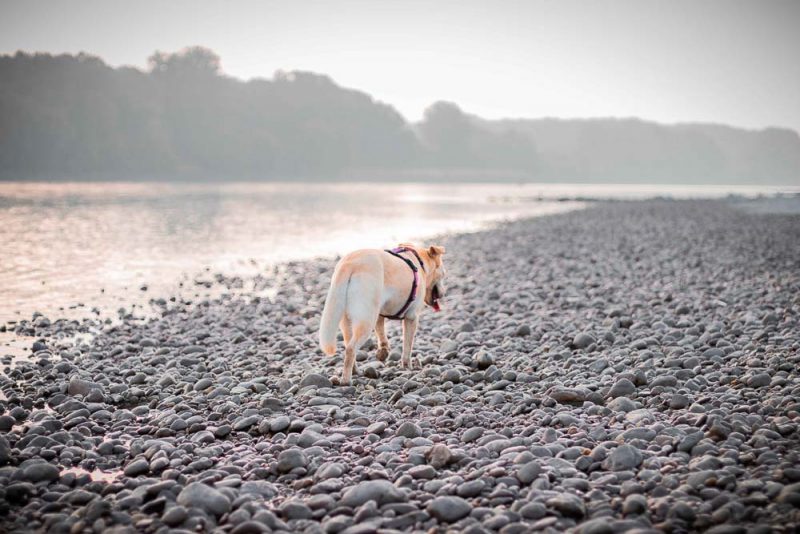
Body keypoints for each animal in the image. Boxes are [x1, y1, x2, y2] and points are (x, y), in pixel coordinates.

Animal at [318, 245, 444, 388]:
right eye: (443, 273)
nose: (443, 293)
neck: (419, 260)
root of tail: (349, 264)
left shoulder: (379, 314)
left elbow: (382, 335)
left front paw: (383, 352)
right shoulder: (412, 318)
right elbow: (407, 345)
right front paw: (407, 366)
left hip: (347, 318)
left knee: (348, 344)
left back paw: (355, 371)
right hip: (366, 320)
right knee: (351, 348)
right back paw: (346, 380)